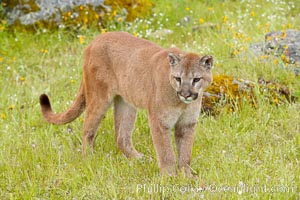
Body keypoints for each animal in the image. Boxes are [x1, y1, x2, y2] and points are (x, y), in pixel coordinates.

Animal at [39, 31, 213, 175]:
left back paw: (140, 159)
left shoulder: (187, 123)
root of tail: (94, 41)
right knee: (87, 129)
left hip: (126, 104)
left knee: (121, 137)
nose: (185, 94)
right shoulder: (159, 121)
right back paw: (88, 158)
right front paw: (169, 177)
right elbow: (166, 152)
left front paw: (186, 175)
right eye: (178, 78)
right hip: (99, 98)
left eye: (196, 79)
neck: (182, 104)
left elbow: (185, 152)